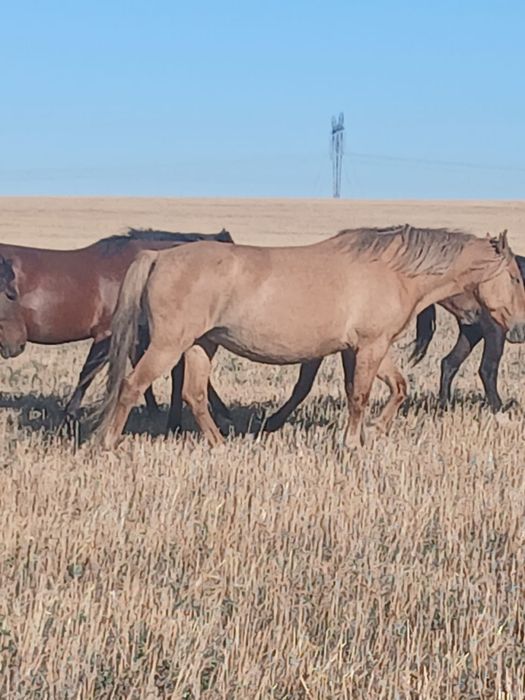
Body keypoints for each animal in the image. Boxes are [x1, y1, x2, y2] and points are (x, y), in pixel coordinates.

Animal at [407, 254, 525, 411]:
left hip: (473, 329)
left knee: (449, 363)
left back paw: (444, 406)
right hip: (494, 329)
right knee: (486, 369)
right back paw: (499, 409)